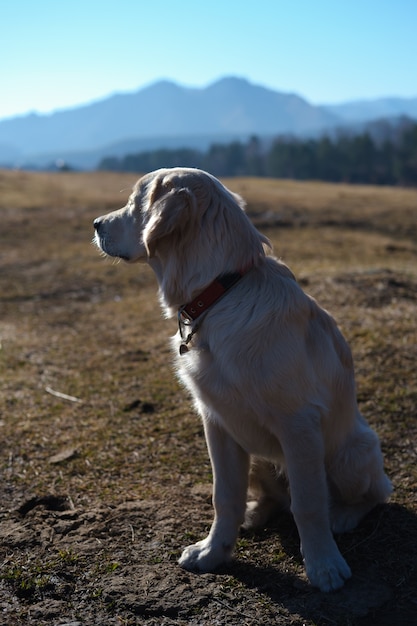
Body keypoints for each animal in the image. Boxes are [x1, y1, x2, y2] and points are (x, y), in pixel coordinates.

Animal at [93, 166, 390, 588]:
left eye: (136, 202)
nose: (96, 224)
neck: (221, 292)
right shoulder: (216, 421)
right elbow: (224, 496)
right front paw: (213, 551)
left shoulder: (298, 424)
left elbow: (309, 504)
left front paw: (324, 565)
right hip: (260, 456)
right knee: (275, 498)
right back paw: (254, 514)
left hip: (351, 454)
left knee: (374, 493)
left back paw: (345, 516)